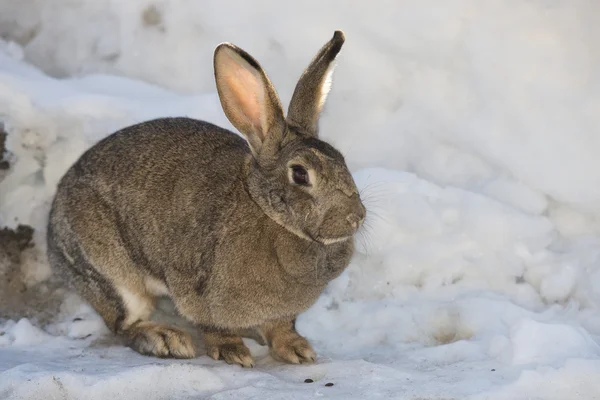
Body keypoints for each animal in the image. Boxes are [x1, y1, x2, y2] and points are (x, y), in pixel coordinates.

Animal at [47, 30, 364, 368]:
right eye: (301, 175)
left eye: (342, 161)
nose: (356, 216)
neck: (266, 211)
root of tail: (51, 230)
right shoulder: (197, 289)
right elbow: (214, 327)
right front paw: (233, 352)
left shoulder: (281, 313)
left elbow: (280, 327)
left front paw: (298, 350)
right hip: (111, 273)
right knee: (125, 324)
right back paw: (167, 339)